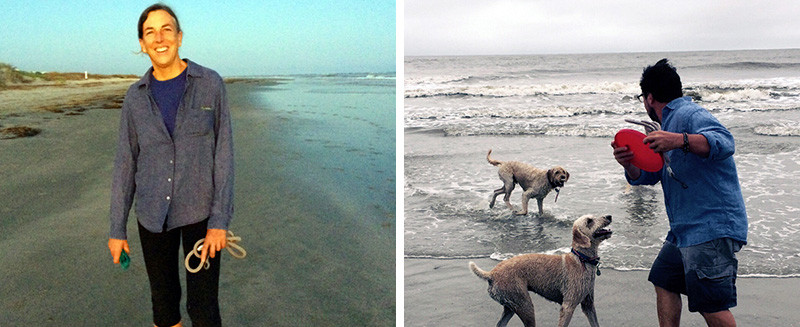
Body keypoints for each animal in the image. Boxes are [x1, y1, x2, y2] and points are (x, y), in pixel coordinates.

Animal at [468, 215, 612, 327]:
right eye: (589, 221)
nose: (609, 216)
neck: (581, 259)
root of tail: (491, 274)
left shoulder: (589, 305)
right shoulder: (568, 306)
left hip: (510, 307)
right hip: (525, 305)